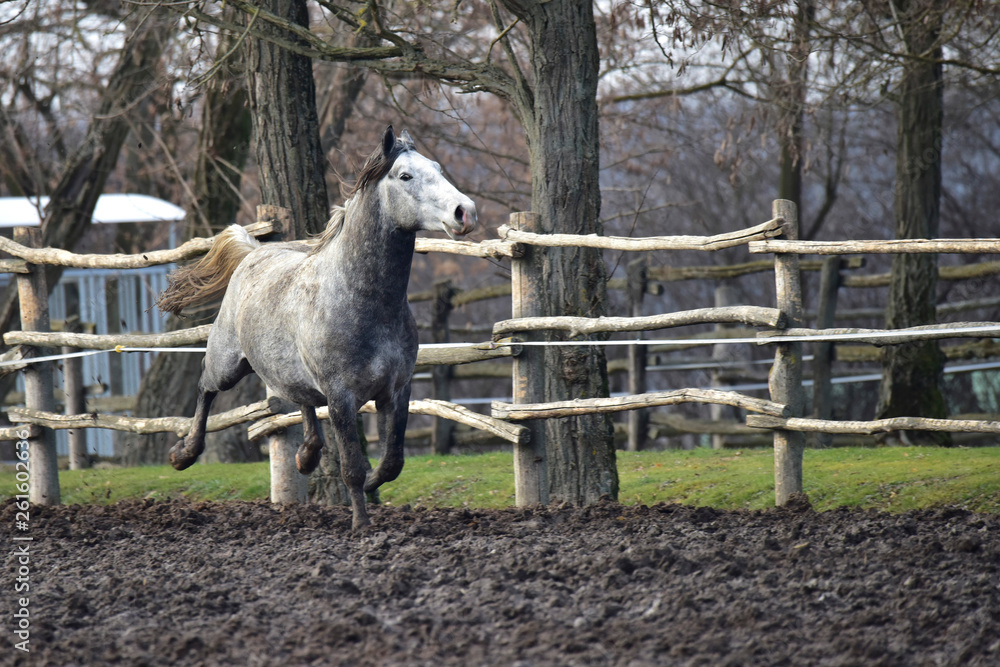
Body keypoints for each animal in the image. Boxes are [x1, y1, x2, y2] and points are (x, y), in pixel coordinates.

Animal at [156, 126, 477, 529]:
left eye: (437, 167)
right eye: (405, 176)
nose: (465, 212)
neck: (363, 301)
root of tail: (253, 252)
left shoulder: (396, 390)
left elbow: (392, 461)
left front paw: (370, 486)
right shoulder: (342, 396)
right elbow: (352, 466)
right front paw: (361, 524)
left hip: (289, 371)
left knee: (301, 399)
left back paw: (305, 456)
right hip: (227, 364)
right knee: (205, 388)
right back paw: (183, 454)